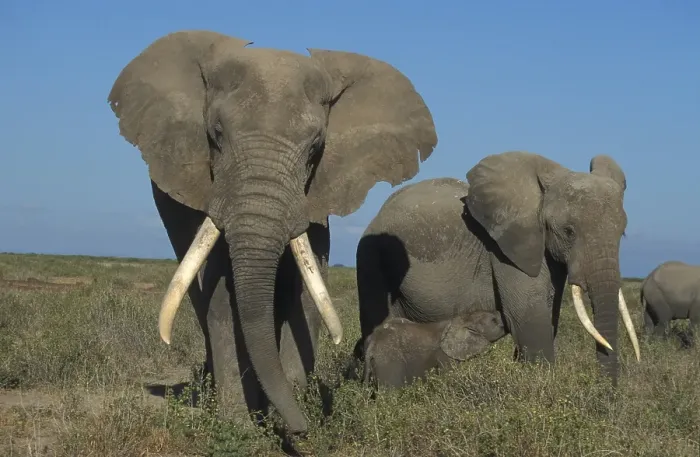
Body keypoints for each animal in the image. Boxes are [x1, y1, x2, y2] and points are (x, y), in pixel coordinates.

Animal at [107, 30, 437, 435]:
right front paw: (241, 429)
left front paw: (292, 411)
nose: (300, 427)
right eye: (216, 135)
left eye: (315, 147)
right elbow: (221, 294)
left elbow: (307, 295)